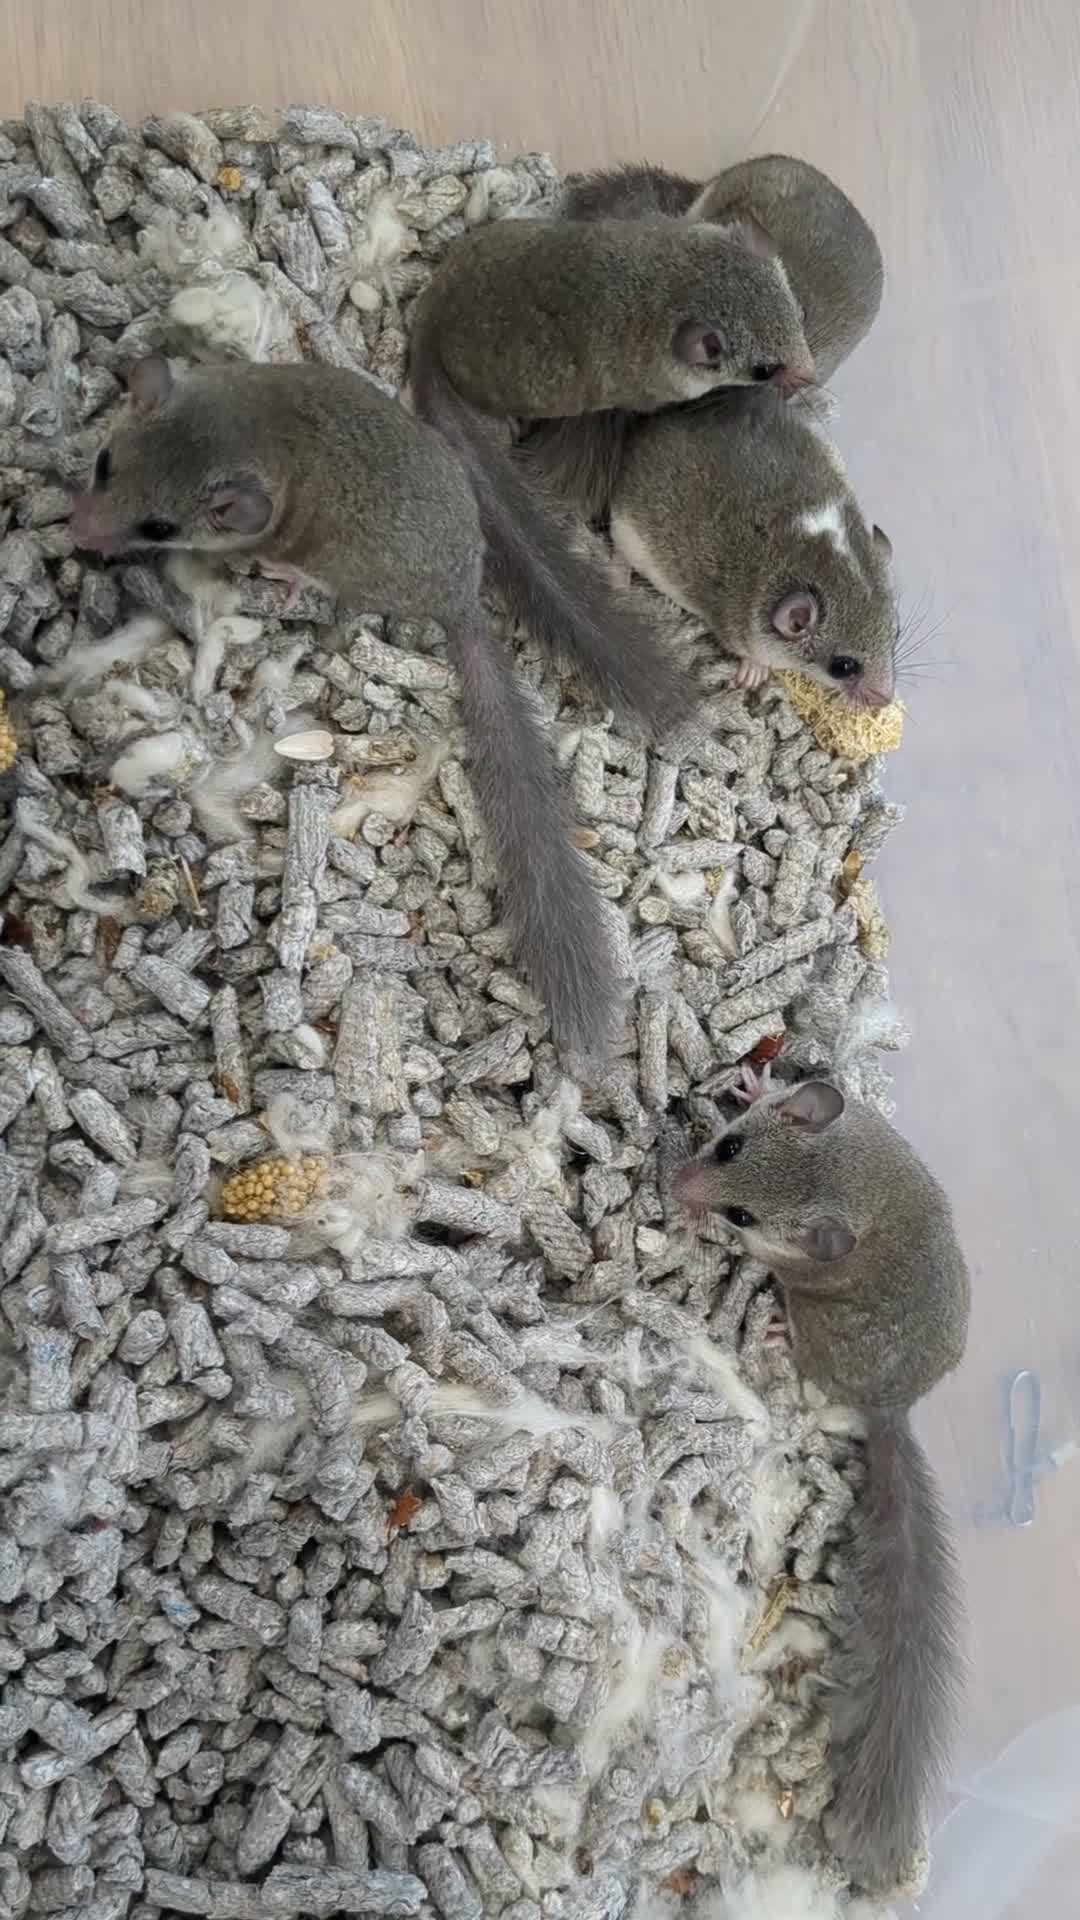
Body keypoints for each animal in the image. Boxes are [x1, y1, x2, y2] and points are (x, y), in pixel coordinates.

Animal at [67, 356, 623, 1057]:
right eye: (104, 463)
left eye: (159, 528)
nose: (76, 532)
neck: (248, 429)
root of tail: (461, 599)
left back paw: (284, 578)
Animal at [673, 1068, 969, 1894]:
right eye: (729, 1145)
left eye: (741, 1215)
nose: (674, 1186)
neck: (841, 1175)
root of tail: (893, 1411)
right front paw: (758, 1080)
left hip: (812, 1330)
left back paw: (777, 1333)